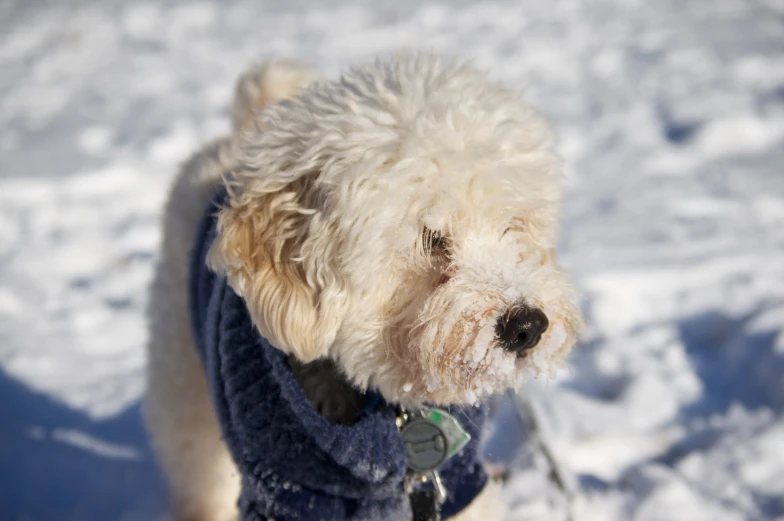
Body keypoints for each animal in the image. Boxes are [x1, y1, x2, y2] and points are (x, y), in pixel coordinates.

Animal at [145, 53, 580, 520]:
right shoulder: (286, 491)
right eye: (431, 238)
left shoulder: (455, 478)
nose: (528, 326)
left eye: (515, 224)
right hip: (183, 385)